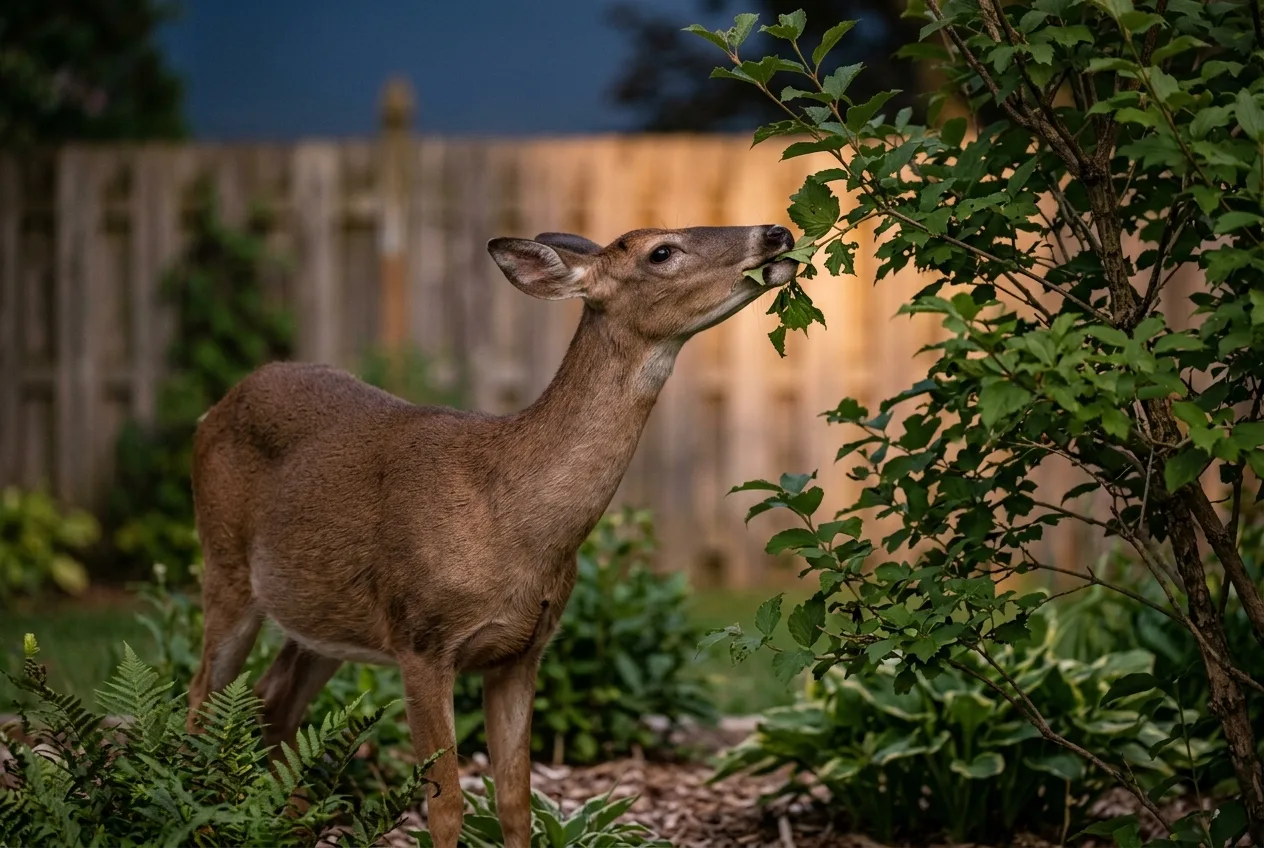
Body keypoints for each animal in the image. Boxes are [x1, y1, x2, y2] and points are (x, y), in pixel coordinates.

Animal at [183, 223, 798, 847]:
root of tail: (213, 409)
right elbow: (447, 804)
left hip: (323, 617)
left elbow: (515, 800)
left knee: (271, 700)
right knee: (201, 697)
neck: (511, 520)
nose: (776, 233)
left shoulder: (522, 653)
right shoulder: (422, 641)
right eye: (662, 251)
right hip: (225, 564)